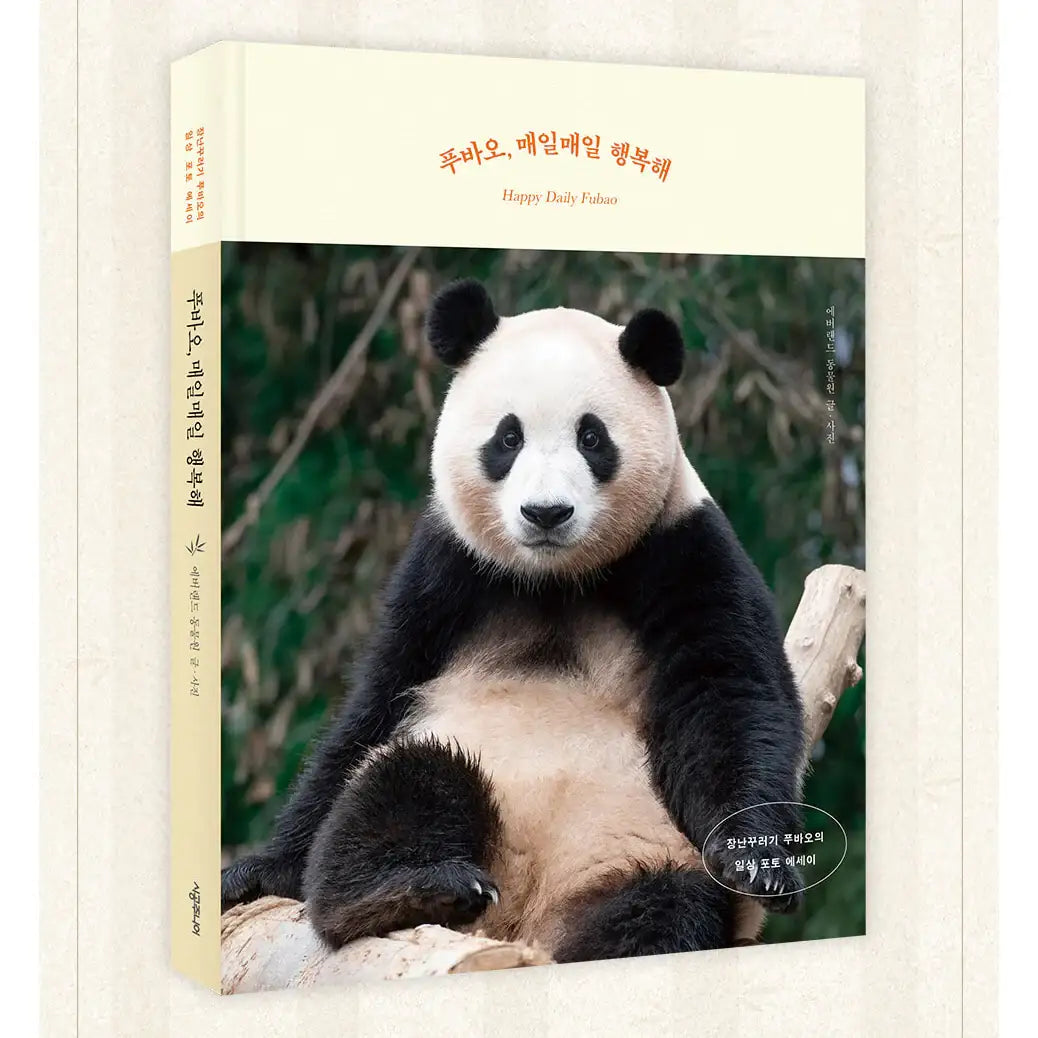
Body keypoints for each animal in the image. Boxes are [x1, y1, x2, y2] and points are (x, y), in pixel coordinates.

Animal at [221, 279, 808, 962]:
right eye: (508, 438)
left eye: (592, 438)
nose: (546, 513)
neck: (554, 580)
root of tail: (520, 920)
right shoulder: (446, 573)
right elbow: (375, 703)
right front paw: (261, 869)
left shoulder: (683, 550)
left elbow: (729, 696)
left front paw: (759, 864)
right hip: (474, 775)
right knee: (410, 783)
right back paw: (411, 889)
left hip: (641, 857)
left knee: (669, 910)